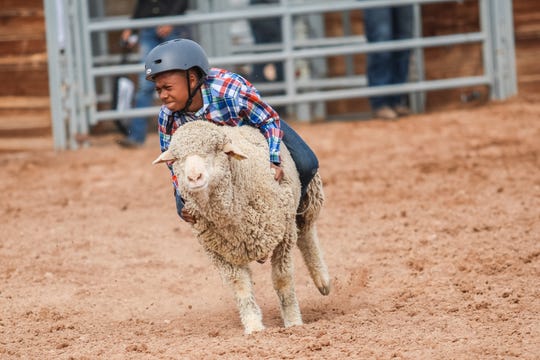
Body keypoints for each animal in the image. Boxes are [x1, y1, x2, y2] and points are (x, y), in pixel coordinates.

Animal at [152, 121, 330, 334]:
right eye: (177, 158)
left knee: (307, 232)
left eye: (215, 150)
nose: (194, 177)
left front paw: (293, 322)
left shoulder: (284, 235)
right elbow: (240, 287)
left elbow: (283, 279)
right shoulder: (220, 252)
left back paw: (322, 280)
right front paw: (253, 326)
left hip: (308, 195)